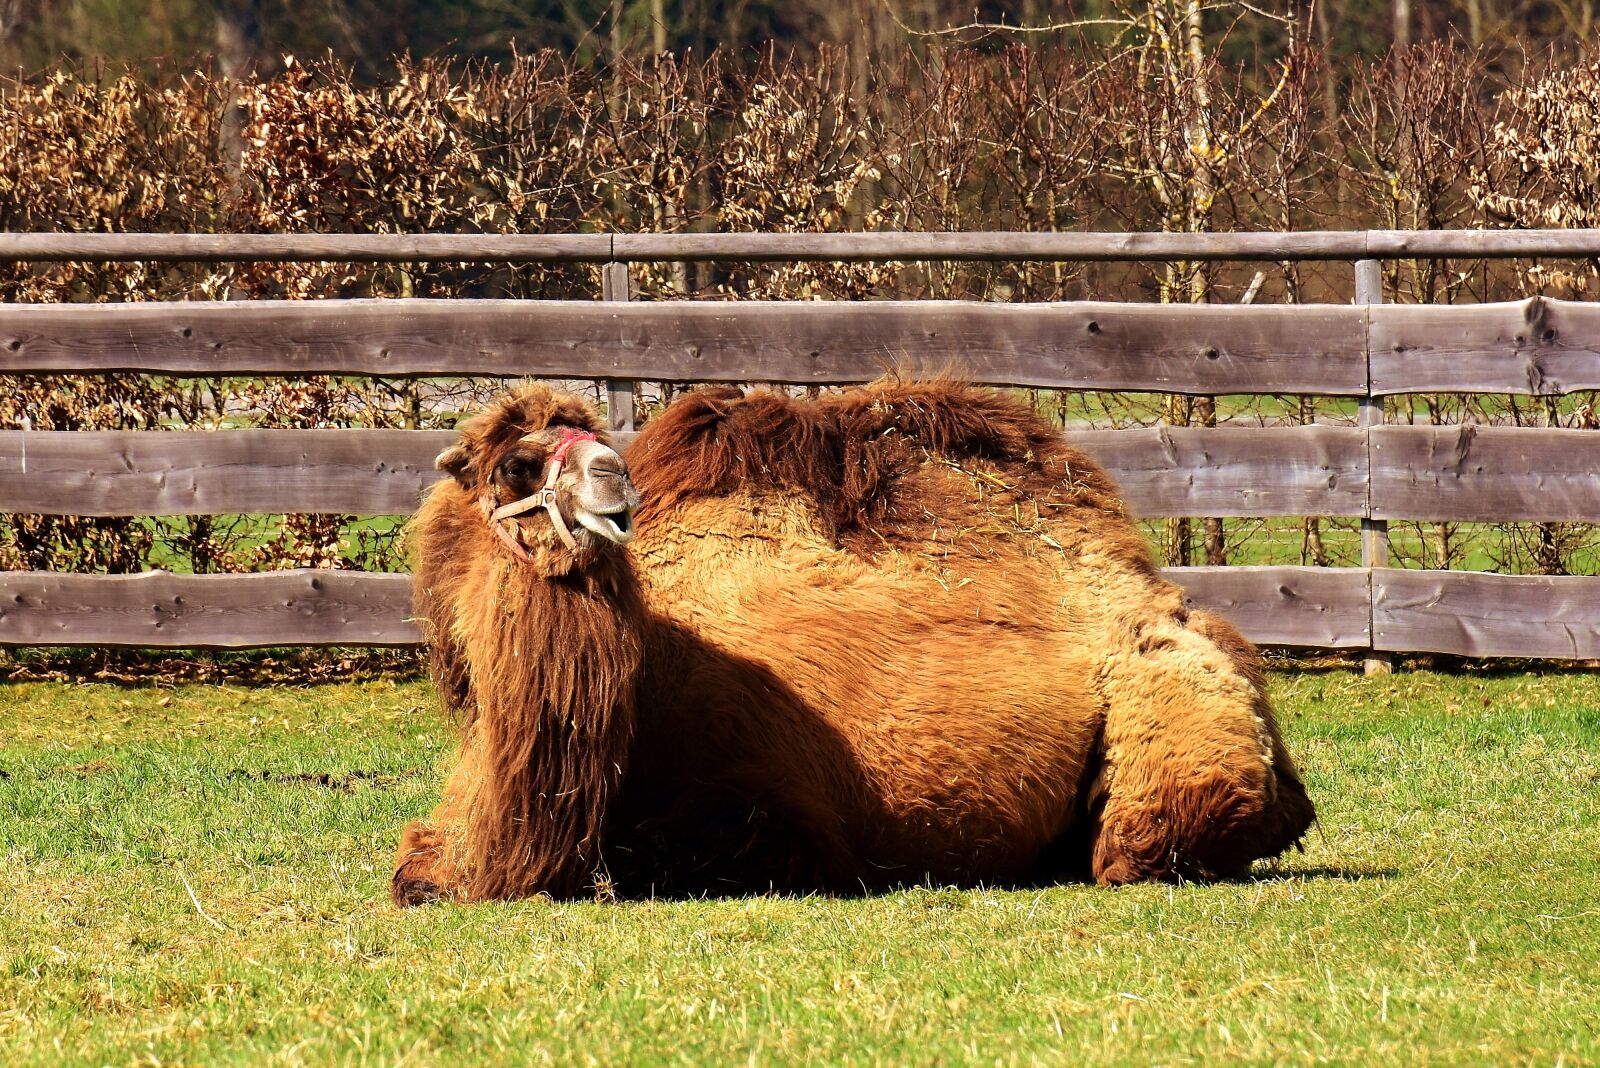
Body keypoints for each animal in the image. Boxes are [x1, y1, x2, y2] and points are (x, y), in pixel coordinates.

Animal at [392, 380, 1315, 904]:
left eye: (595, 443)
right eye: (513, 464)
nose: (612, 480)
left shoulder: (762, 813)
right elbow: (415, 872)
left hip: (1170, 710)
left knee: (1152, 834)